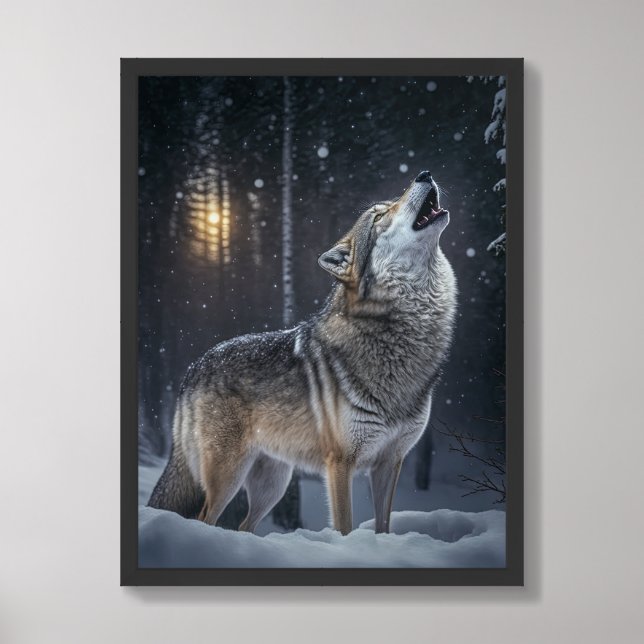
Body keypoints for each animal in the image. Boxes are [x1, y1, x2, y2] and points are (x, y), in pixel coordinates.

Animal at [148, 170, 457, 535]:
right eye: (380, 215)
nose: (424, 174)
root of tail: (192, 368)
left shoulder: (389, 462)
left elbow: (383, 527)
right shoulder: (340, 463)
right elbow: (344, 527)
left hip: (273, 485)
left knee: (243, 526)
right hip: (229, 478)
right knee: (205, 519)